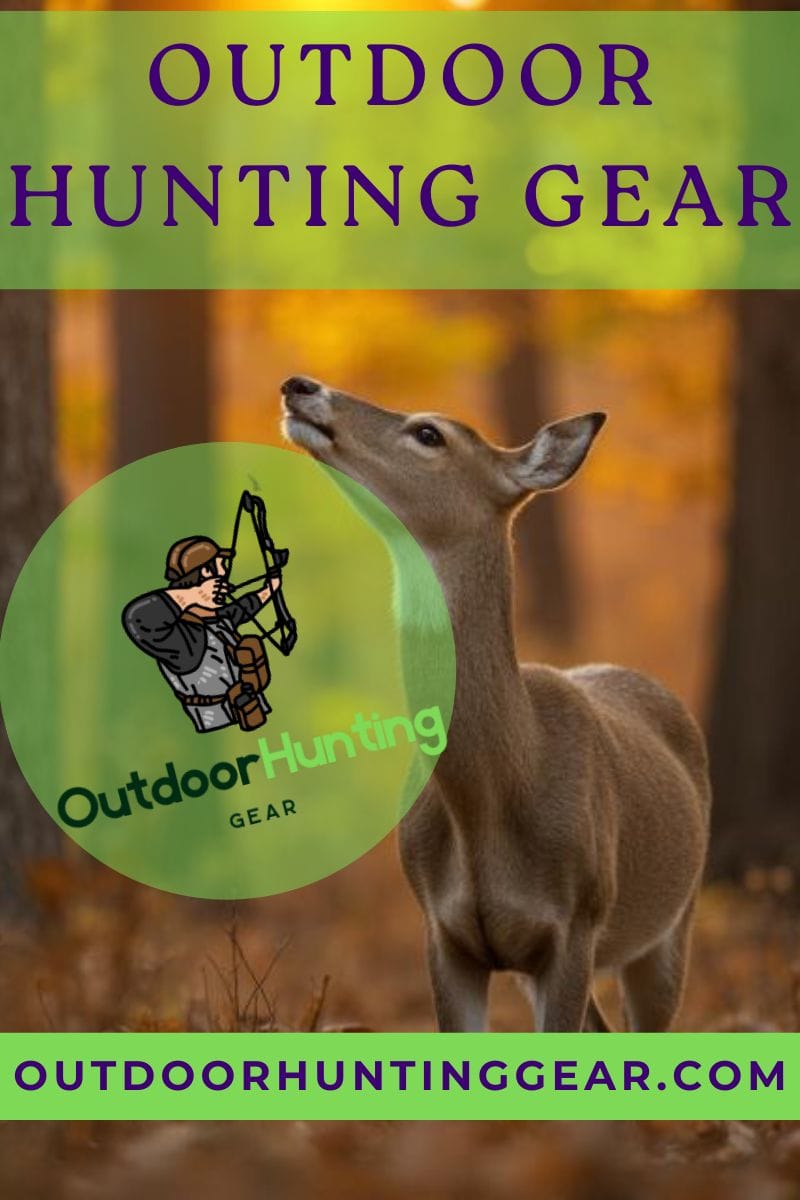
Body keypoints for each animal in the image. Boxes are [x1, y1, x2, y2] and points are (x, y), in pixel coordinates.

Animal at [281, 374, 711, 1033]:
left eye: (430, 432)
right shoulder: (445, 935)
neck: (492, 793)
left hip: (671, 926)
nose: (300, 384)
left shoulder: (576, 923)